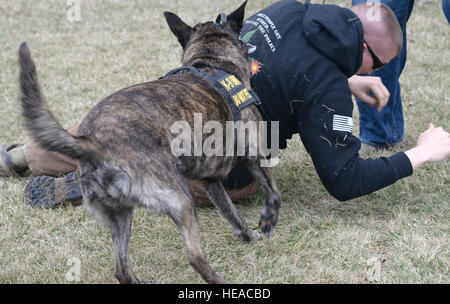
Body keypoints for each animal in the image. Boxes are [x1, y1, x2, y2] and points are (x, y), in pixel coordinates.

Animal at [20, 1, 282, 284]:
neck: (211, 63)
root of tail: (92, 143)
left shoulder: (212, 183)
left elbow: (232, 214)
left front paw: (248, 235)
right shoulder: (256, 154)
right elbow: (273, 191)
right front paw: (268, 219)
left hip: (121, 215)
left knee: (121, 269)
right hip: (180, 200)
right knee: (195, 258)